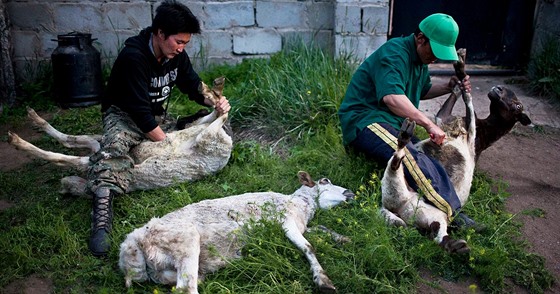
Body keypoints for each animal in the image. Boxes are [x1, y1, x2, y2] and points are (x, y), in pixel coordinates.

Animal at [118, 171, 354, 292]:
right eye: (325, 181)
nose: (350, 192)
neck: (302, 205)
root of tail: (132, 244)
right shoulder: (286, 222)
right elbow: (308, 246)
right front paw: (324, 282)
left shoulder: (302, 225)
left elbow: (321, 229)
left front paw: (343, 238)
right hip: (185, 242)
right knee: (186, 288)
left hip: (164, 271)